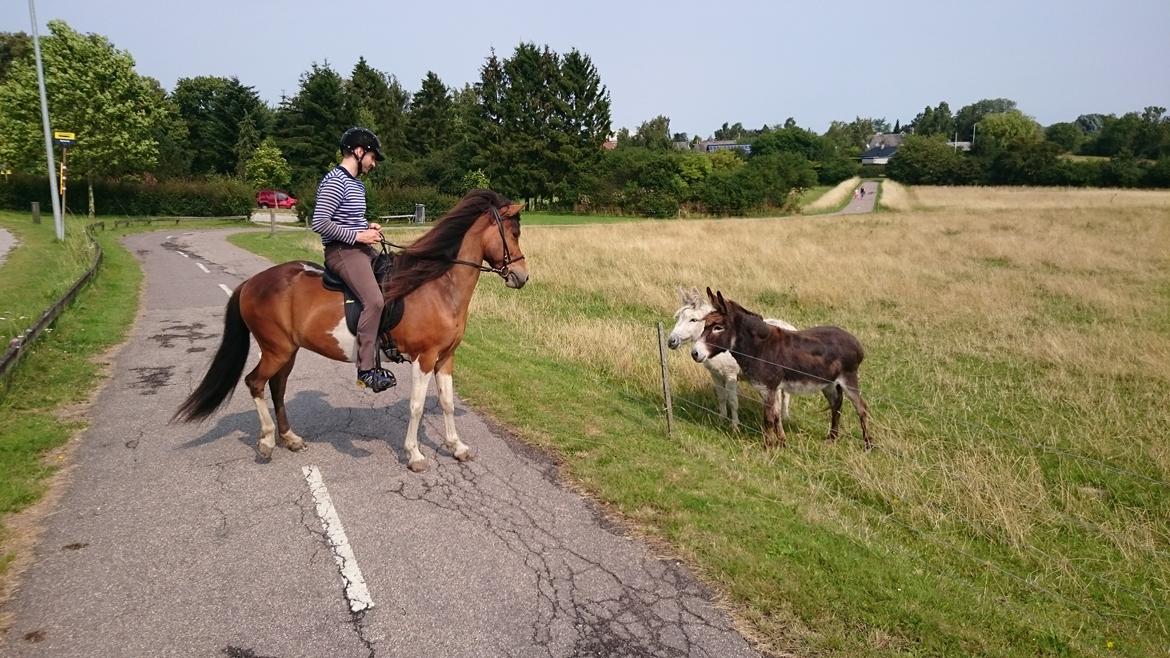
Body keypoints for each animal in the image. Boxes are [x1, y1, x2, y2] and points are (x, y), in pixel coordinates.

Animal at [174, 187, 531, 468]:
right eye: (513, 234)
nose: (522, 277)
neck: (436, 286)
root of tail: (250, 283)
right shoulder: (424, 358)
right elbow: (416, 407)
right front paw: (415, 455)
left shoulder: (445, 358)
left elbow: (447, 403)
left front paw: (457, 447)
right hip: (276, 349)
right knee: (255, 383)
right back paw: (266, 442)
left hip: (287, 352)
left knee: (277, 387)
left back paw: (290, 438)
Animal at [669, 284, 795, 428]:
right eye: (678, 318)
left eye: (693, 320)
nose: (671, 341)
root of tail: (789, 326)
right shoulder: (716, 375)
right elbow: (722, 398)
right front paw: (721, 420)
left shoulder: (730, 375)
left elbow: (733, 401)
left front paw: (735, 426)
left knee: (785, 396)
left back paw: (785, 418)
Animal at [692, 288, 870, 447]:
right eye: (705, 326)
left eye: (718, 328)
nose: (694, 353)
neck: (759, 348)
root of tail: (854, 341)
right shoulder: (765, 388)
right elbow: (776, 415)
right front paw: (782, 442)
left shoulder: (769, 388)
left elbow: (768, 419)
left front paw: (768, 447)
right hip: (829, 384)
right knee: (836, 406)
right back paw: (832, 439)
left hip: (848, 379)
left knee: (861, 408)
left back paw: (868, 444)